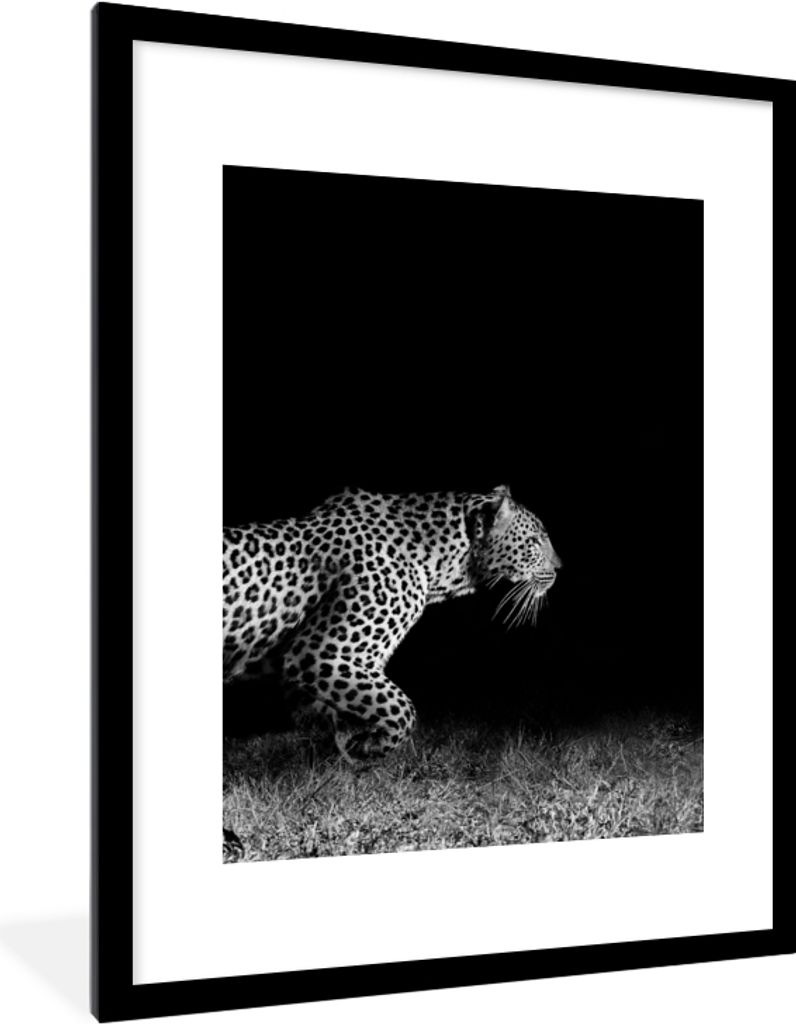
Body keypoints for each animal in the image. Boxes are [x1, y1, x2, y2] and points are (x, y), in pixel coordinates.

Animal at [223, 484, 561, 761]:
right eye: (534, 541)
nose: (560, 567)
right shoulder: (322, 654)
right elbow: (402, 708)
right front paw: (370, 747)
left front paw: (348, 742)